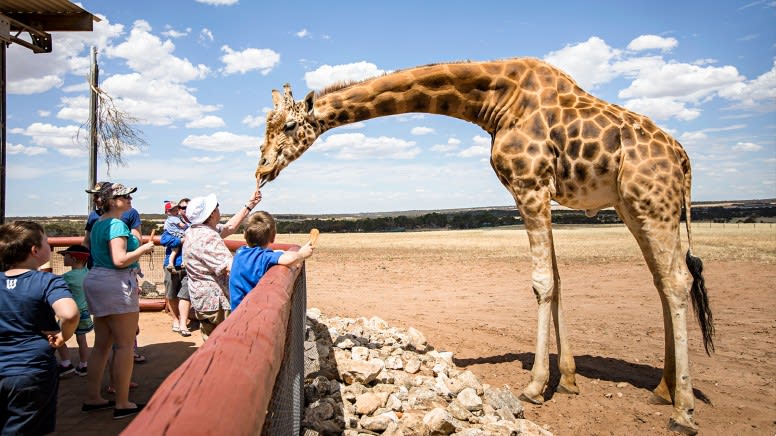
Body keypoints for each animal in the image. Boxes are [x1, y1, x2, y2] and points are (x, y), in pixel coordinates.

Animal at [256, 58, 716, 436]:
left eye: (291, 127)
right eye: (266, 126)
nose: (262, 169)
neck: (492, 100)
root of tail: (685, 161)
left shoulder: (530, 185)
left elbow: (543, 281)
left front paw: (535, 386)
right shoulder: (538, 193)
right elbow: (558, 279)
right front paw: (567, 380)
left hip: (651, 202)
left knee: (677, 282)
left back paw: (684, 411)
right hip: (634, 206)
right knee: (662, 281)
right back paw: (662, 389)